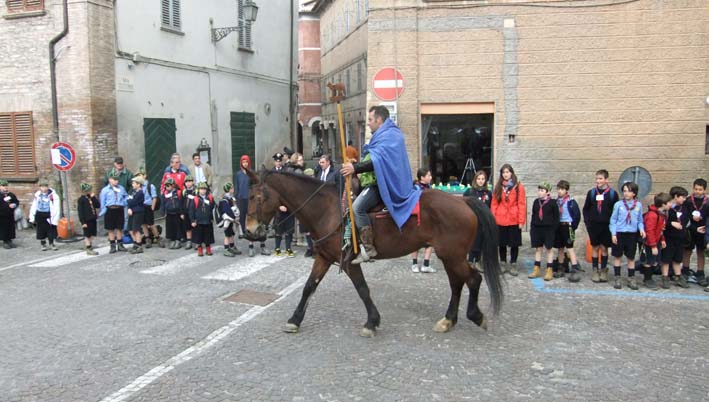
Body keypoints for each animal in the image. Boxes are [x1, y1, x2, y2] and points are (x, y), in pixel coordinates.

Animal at [244, 170, 503, 337]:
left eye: (257, 197)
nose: (249, 231)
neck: (327, 209)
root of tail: (464, 202)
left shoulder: (349, 261)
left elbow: (362, 289)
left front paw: (372, 321)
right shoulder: (325, 257)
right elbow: (309, 287)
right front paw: (294, 320)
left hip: (453, 255)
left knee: (473, 279)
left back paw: (475, 316)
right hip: (449, 256)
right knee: (458, 283)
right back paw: (448, 320)